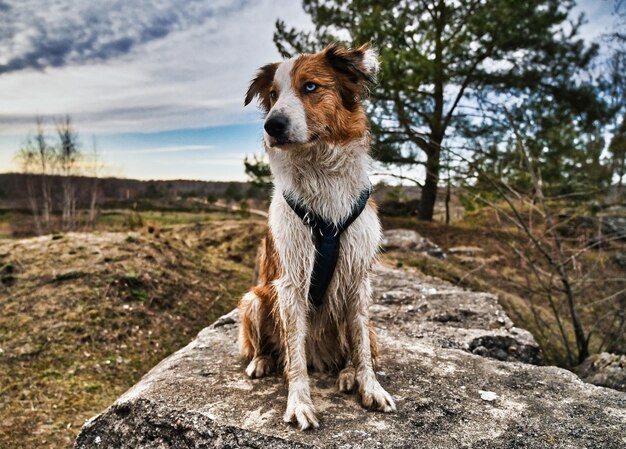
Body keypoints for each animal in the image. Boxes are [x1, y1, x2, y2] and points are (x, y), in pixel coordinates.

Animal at [236, 43, 392, 428]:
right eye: (273, 95)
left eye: (310, 87)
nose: (272, 125)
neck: (319, 168)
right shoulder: (290, 282)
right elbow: (293, 354)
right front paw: (299, 402)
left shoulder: (358, 278)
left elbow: (361, 347)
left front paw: (370, 386)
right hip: (254, 298)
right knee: (270, 346)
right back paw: (261, 361)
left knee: (356, 345)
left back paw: (348, 374)